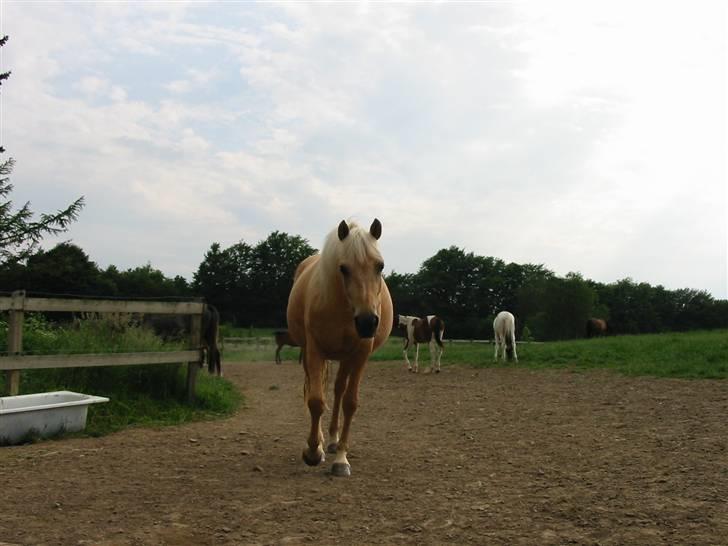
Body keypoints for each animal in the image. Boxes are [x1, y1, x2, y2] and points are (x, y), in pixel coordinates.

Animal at [288, 219, 396, 474]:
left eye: (380, 266)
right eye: (343, 268)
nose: (367, 322)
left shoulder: (360, 354)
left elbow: (350, 402)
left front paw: (341, 459)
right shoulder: (314, 350)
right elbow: (316, 401)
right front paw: (312, 452)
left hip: (347, 358)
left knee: (338, 390)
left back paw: (334, 441)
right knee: (316, 390)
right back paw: (320, 444)